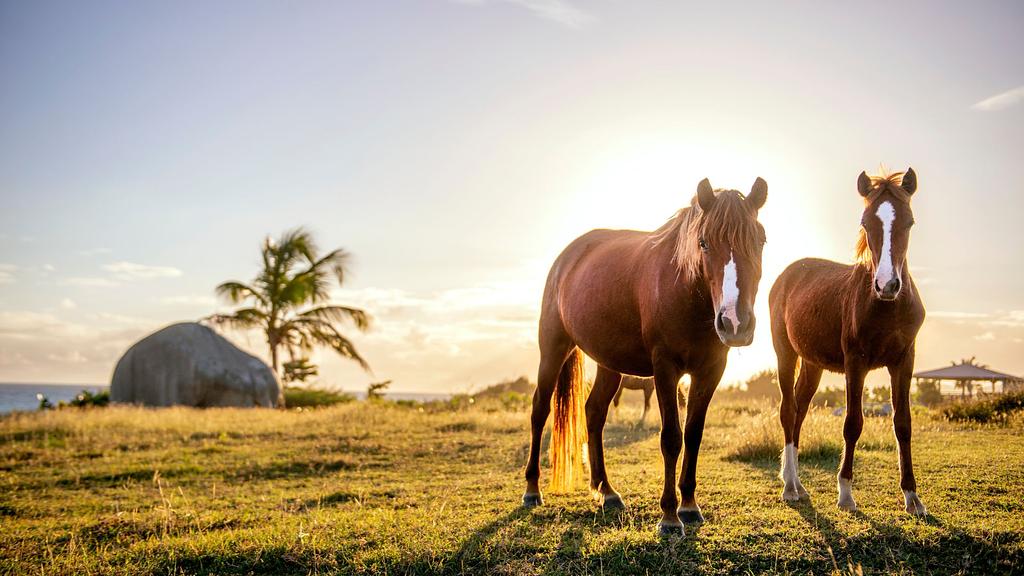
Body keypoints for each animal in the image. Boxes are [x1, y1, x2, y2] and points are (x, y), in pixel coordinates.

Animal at [522, 177, 768, 535]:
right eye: (704, 243)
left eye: (761, 240)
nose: (735, 322)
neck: (685, 293)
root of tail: (567, 257)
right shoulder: (665, 369)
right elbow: (671, 439)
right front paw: (669, 517)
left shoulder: (710, 370)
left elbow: (693, 435)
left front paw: (689, 506)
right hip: (553, 348)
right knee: (540, 410)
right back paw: (531, 489)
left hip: (609, 365)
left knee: (594, 413)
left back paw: (607, 491)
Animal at [768, 168, 927, 516]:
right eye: (866, 223)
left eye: (909, 222)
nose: (887, 285)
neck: (887, 307)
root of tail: (786, 275)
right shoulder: (856, 362)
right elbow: (853, 423)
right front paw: (845, 494)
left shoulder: (904, 360)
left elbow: (903, 423)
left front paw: (912, 497)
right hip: (785, 353)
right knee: (788, 410)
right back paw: (789, 487)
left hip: (812, 363)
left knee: (800, 409)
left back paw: (797, 483)